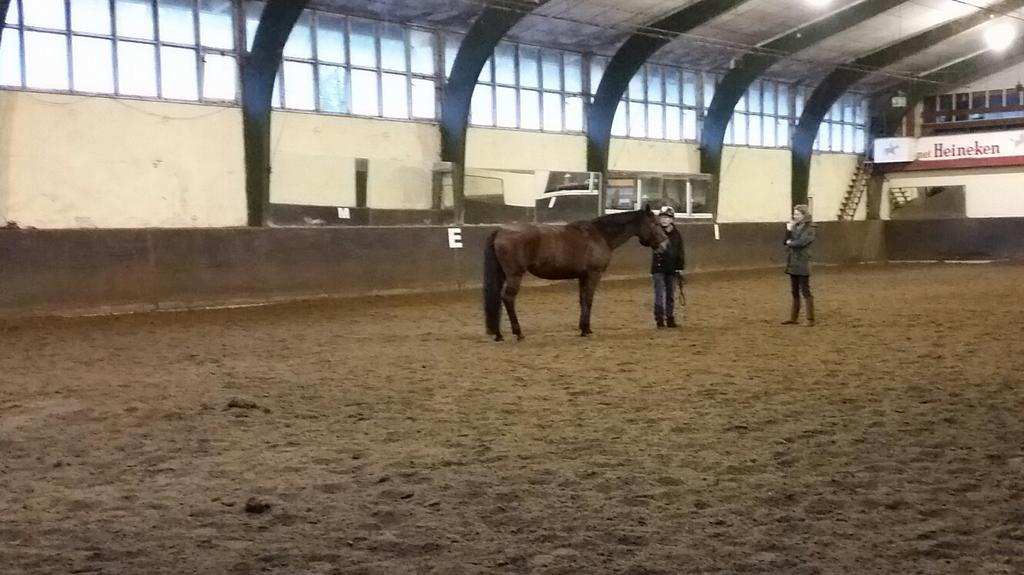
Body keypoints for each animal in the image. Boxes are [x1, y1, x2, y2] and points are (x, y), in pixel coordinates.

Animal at [483, 205, 669, 341]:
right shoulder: (593, 275)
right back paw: (518, 332)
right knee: (508, 299)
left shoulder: (582, 276)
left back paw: (498, 333)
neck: (600, 235)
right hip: (515, 275)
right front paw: (586, 329)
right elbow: (589, 300)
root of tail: (501, 230)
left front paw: (582, 328)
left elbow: (582, 300)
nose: (665, 245)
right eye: (656, 224)